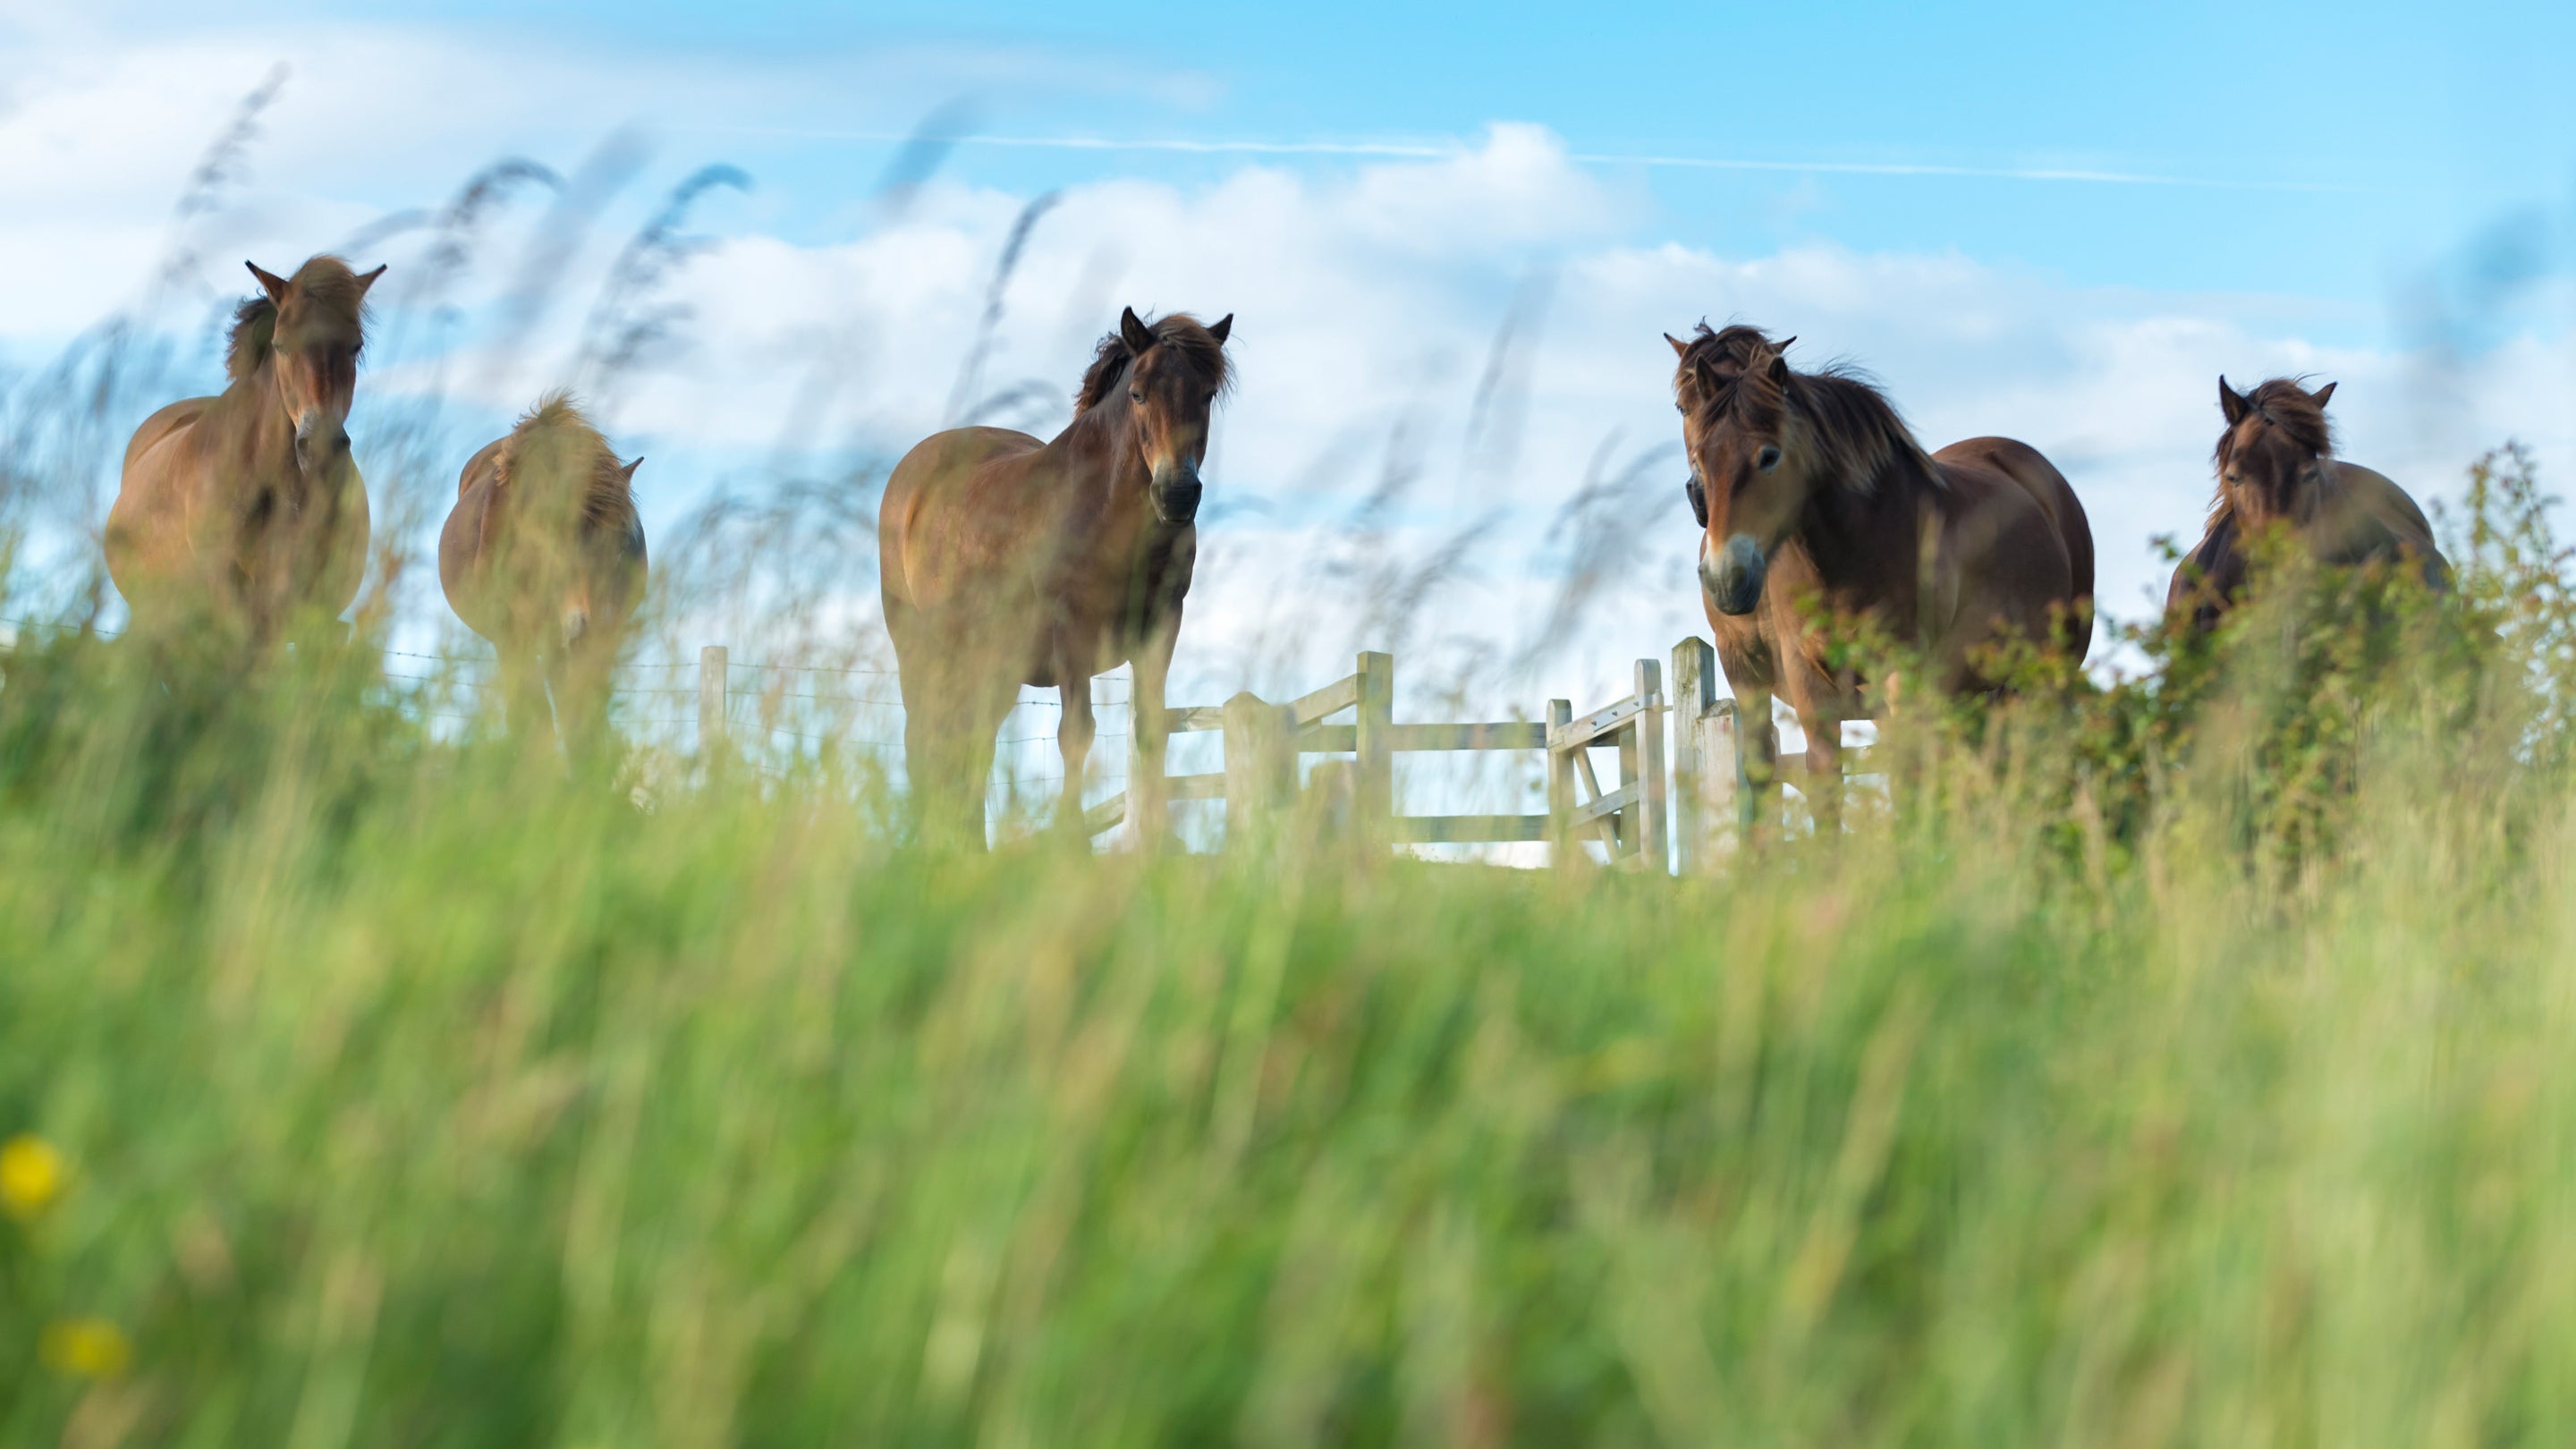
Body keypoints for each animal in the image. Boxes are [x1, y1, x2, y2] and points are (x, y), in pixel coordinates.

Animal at [880, 306, 1233, 847]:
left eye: (1207, 393)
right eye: (1138, 393)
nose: (1176, 494)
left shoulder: (1162, 626)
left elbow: (1151, 731)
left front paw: (1158, 842)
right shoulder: (1071, 630)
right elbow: (1076, 733)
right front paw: (1072, 842)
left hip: (991, 669)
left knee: (971, 751)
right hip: (922, 655)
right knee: (925, 745)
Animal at [1669, 323, 2094, 814]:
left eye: (1769, 456)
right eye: (1684, 409)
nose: (1725, 577)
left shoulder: (1898, 673)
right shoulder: (1788, 679)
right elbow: (1816, 781)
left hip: (2046, 676)